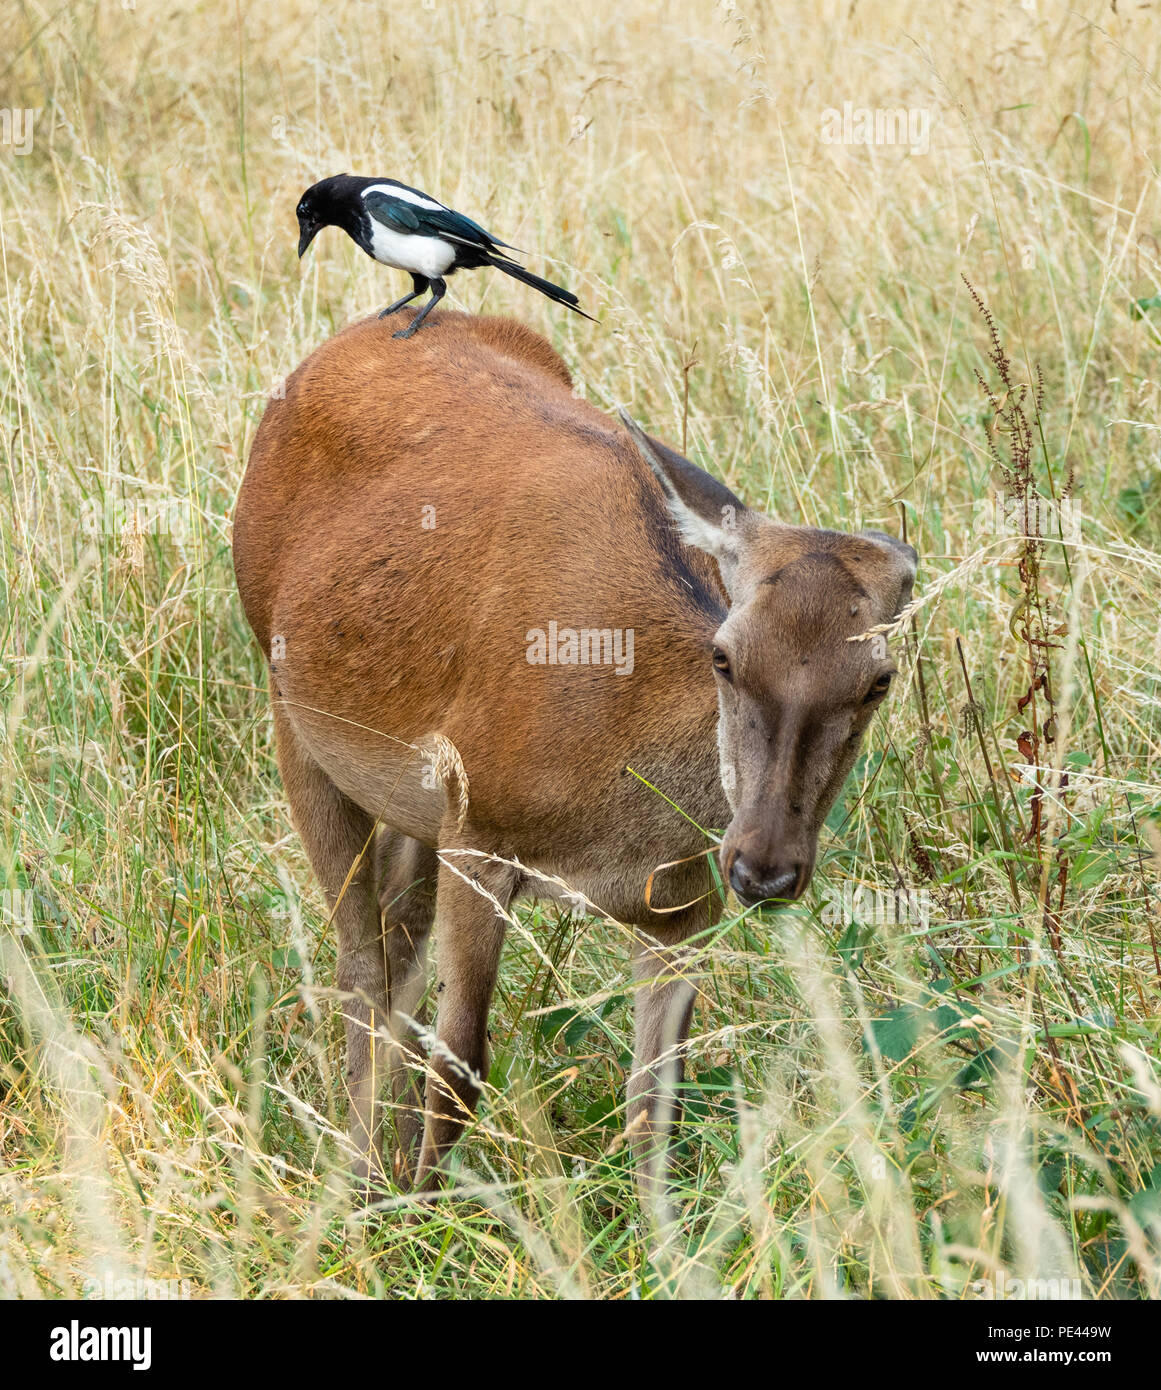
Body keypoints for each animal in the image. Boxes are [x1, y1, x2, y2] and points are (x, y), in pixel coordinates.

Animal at [229, 307, 917, 1217]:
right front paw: (425, 1222)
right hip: (295, 720)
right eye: (725, 657)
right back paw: (363, 1178)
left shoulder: (683, 904)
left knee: (397, 935)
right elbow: (462, 1062)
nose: (764, 867)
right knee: (361, 963)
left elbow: (656, 1100)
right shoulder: (481, 826)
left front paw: (662, 1236)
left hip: (415, 800)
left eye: (878, 679)